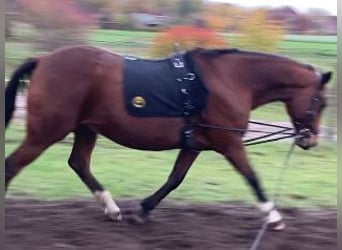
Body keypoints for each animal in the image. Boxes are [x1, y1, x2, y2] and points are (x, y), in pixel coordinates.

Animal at [4, 45, 332, 230]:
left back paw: (112, 209)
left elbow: (175, 178)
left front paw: (143, 211)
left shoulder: (194, 145)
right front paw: (273, 217)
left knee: (79, 163)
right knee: (12, 165)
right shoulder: (229, 143)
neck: (231, 80)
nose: (310, 140)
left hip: (86, 128)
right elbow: (252, 177)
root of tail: (42, 60)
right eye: (322, 102)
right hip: (47, 131)